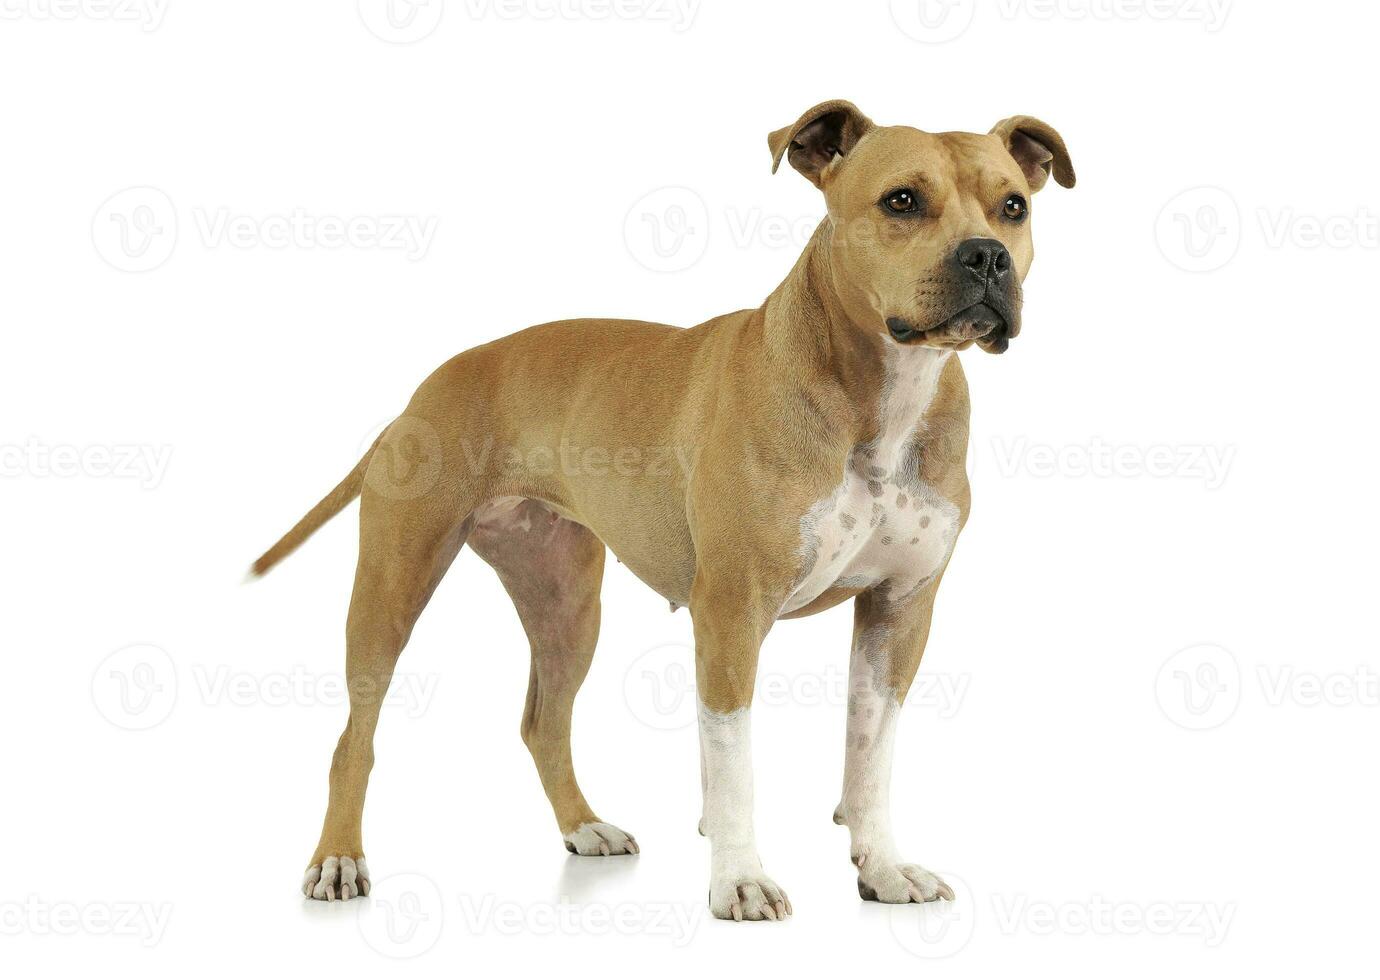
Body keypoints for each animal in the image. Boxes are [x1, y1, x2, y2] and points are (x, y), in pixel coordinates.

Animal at [259, 103, 1076, 927]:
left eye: (1014, 207)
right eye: (901, 201)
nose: (987, 258)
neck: (887, 395)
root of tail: (425, 386)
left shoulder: (899, 610)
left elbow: (870, 754)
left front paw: (882, 867)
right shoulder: (732, 611)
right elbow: (734, 759)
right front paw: (740, 879)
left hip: (565, 603)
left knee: (543, 721)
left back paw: (584, 826)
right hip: (394, 584)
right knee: (355, 736)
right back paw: (338, 860)